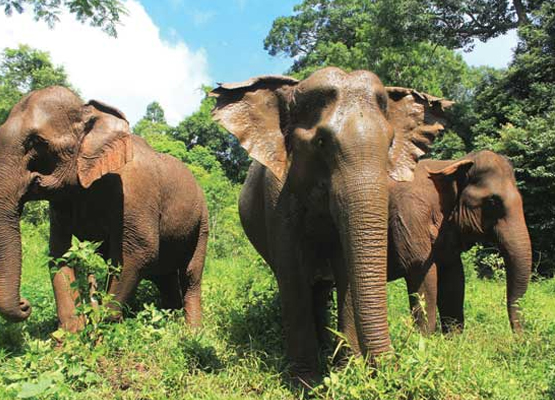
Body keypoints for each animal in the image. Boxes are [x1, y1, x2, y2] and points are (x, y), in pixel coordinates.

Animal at [0, 86, 210, 332]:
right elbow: (59, 253)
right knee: (163, 276)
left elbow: (139, 252)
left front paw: (103, 327)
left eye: (37, 142)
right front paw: (71, 333)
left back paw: (192, 332)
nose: (25, 304)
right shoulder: (61, 202)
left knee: (190, 275)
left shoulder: (134, 192)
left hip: (202, 222)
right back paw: (169, 321)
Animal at [211, 66, 454, 382]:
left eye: (390, 143)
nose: (393, 370)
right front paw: (306, 382)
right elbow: (291, 274)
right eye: (321, 143)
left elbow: (345, 270)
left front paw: (347, 373)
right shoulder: (276, 195)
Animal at [388, 150, 532, 334]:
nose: (520, 338)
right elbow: (419, 271)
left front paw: (453, 338)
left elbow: (454, 278)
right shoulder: (409, 216)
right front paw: (423, 338)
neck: (451, 164)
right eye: (493, 202)